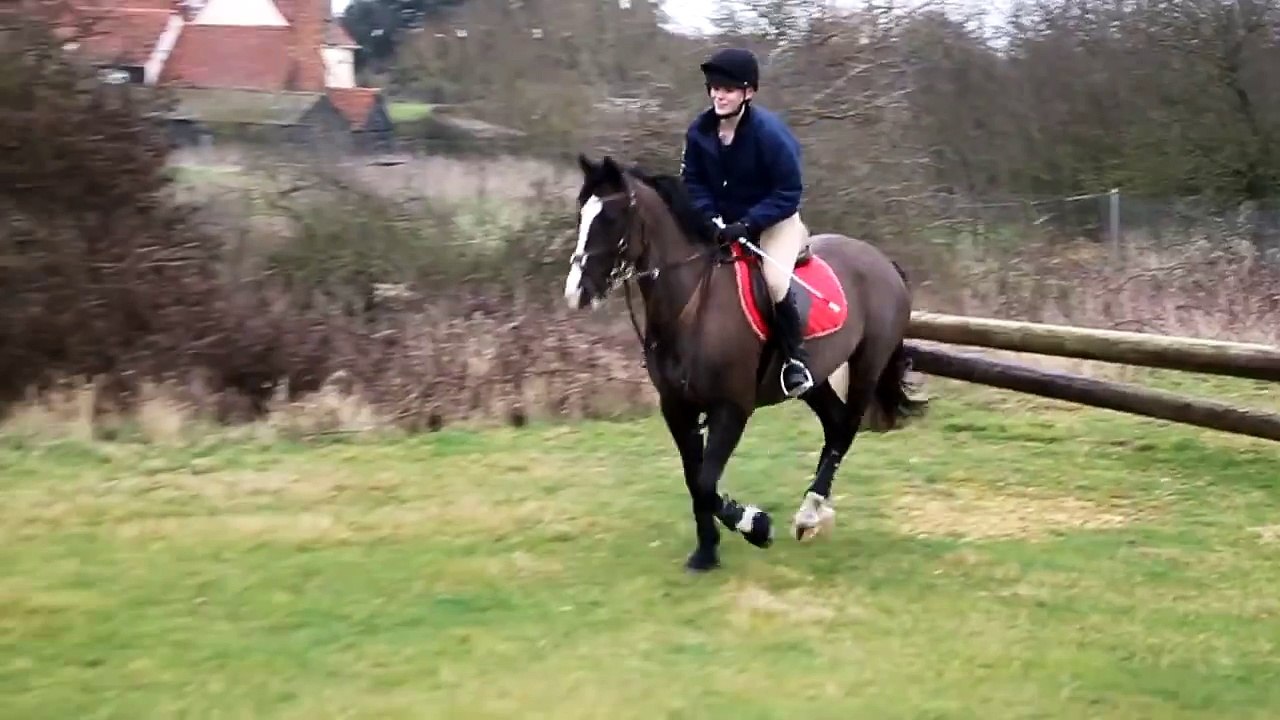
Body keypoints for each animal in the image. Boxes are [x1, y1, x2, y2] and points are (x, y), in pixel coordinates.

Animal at [564, 153, 927, 572]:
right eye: (581, 214)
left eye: (610, 218)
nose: (576, 293)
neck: (691, 305)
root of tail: (882, 260)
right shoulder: (677, 408)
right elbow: (695, 480)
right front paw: (706, 552)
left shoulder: (732, 408)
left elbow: (706, 483)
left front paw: (756, 525)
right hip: (815, 379)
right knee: (834, 424)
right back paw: (815, 512)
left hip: (867, 364)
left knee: (846, 429)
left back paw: (809, 511)